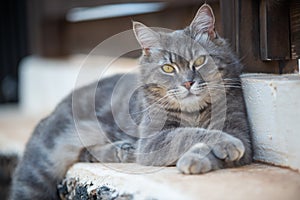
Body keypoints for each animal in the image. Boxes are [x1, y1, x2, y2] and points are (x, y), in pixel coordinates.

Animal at [9, 4, 251, 200]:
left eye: (200, 61)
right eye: (168, 68)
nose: (188, 83)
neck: (193, 112)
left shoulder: (238, 128)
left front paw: (196, 159)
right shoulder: (153, 140)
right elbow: (189, 134)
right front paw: (217, 146)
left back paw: (122, 150)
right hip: (43, 164)